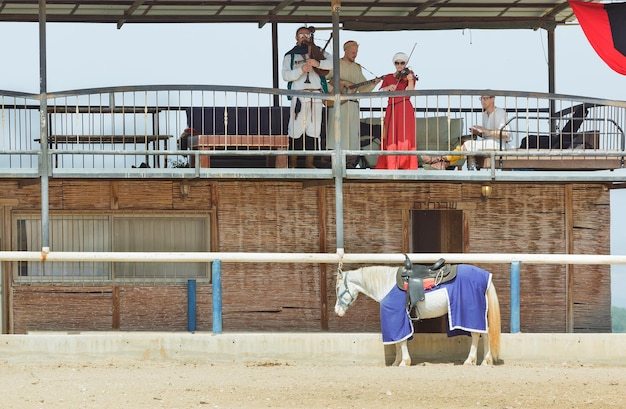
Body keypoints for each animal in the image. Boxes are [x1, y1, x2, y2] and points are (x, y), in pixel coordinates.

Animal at [334, 264, 500, 366]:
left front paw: (404, 362)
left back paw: (469, 360)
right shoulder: (398, 320)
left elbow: (401, 341)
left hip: (470, 314)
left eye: (337, 288)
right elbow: (398, 341)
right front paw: (396, 362)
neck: (386, 284)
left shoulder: (397, 317)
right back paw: (485, 361)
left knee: (476, 335)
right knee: (485, 335)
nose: (337, 311)